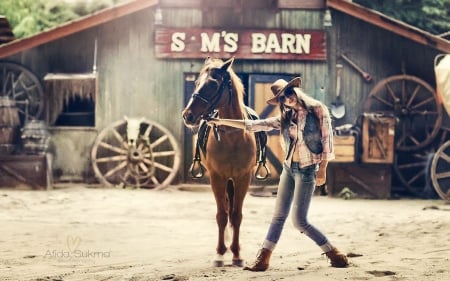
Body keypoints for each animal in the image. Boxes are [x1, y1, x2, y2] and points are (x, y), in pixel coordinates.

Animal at [180, 57, 256, 266]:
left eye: (213, 84)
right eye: (197, 82)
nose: (187, 115)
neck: (232, 136)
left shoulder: (243, 178)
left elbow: (236, 215)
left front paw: (237, 253)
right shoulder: (217, 177)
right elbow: (222, 215)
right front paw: (220, 253)